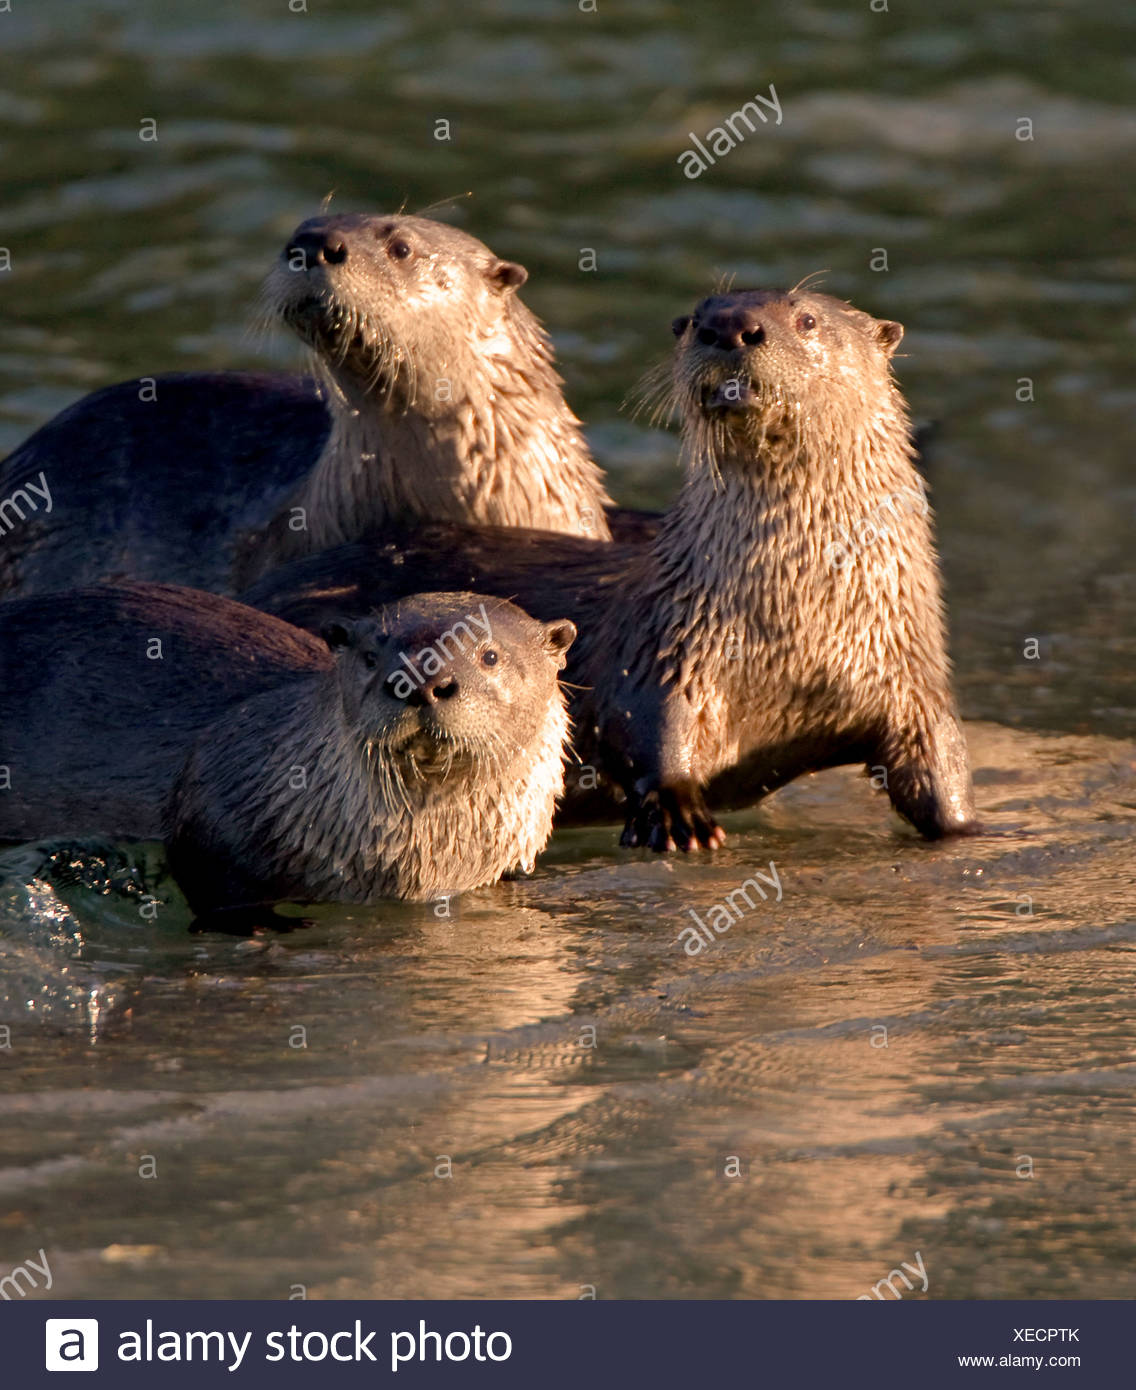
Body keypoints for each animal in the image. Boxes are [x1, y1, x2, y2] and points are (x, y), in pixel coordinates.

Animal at [240, 288, 977, 848]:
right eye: (697, 316)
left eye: (807, 320)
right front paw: (677, 812)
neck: (800, 614)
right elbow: (650, 730)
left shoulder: (910, 672)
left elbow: (935, 764)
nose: (730, 326)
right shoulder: (674, 646)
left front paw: (968, 829)